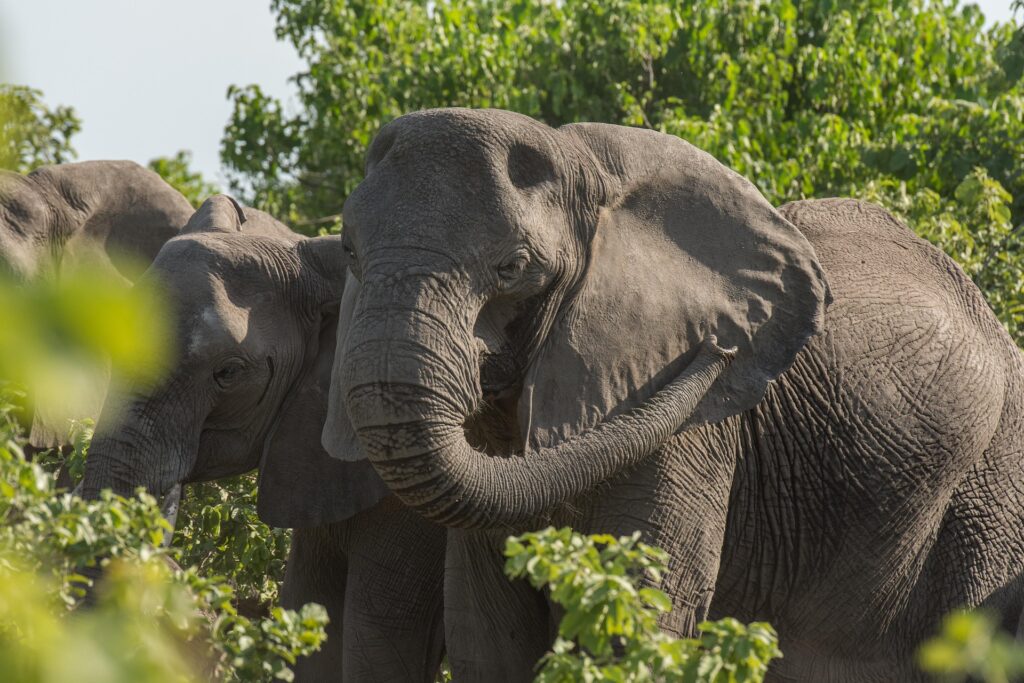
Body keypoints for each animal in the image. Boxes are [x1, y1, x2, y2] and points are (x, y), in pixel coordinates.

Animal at [322, 108, 1024, 681]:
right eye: (349, 251)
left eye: (512, 267)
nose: (718, 351)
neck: (584, 171)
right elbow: (487, 627)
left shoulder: (690, 424)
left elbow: (641, 604)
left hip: (992, 484)